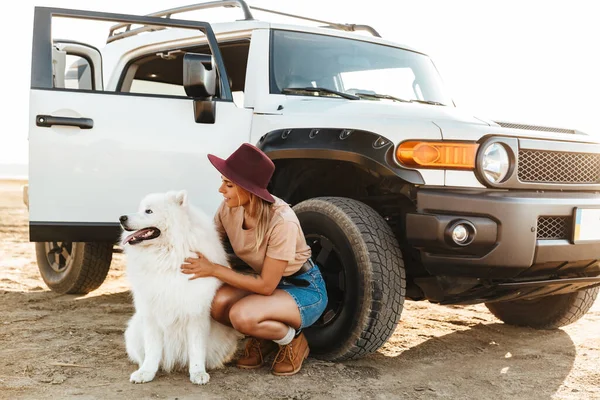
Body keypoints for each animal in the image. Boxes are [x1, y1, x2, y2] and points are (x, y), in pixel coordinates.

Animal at [119, 191, 241, 384]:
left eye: (148, 211)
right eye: (140, 209)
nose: (121, 218)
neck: (166, 259)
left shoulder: (196, 314)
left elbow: (196, 348)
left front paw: (198, 373)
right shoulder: (151, 313)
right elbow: (152, 349)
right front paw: (146, 372)